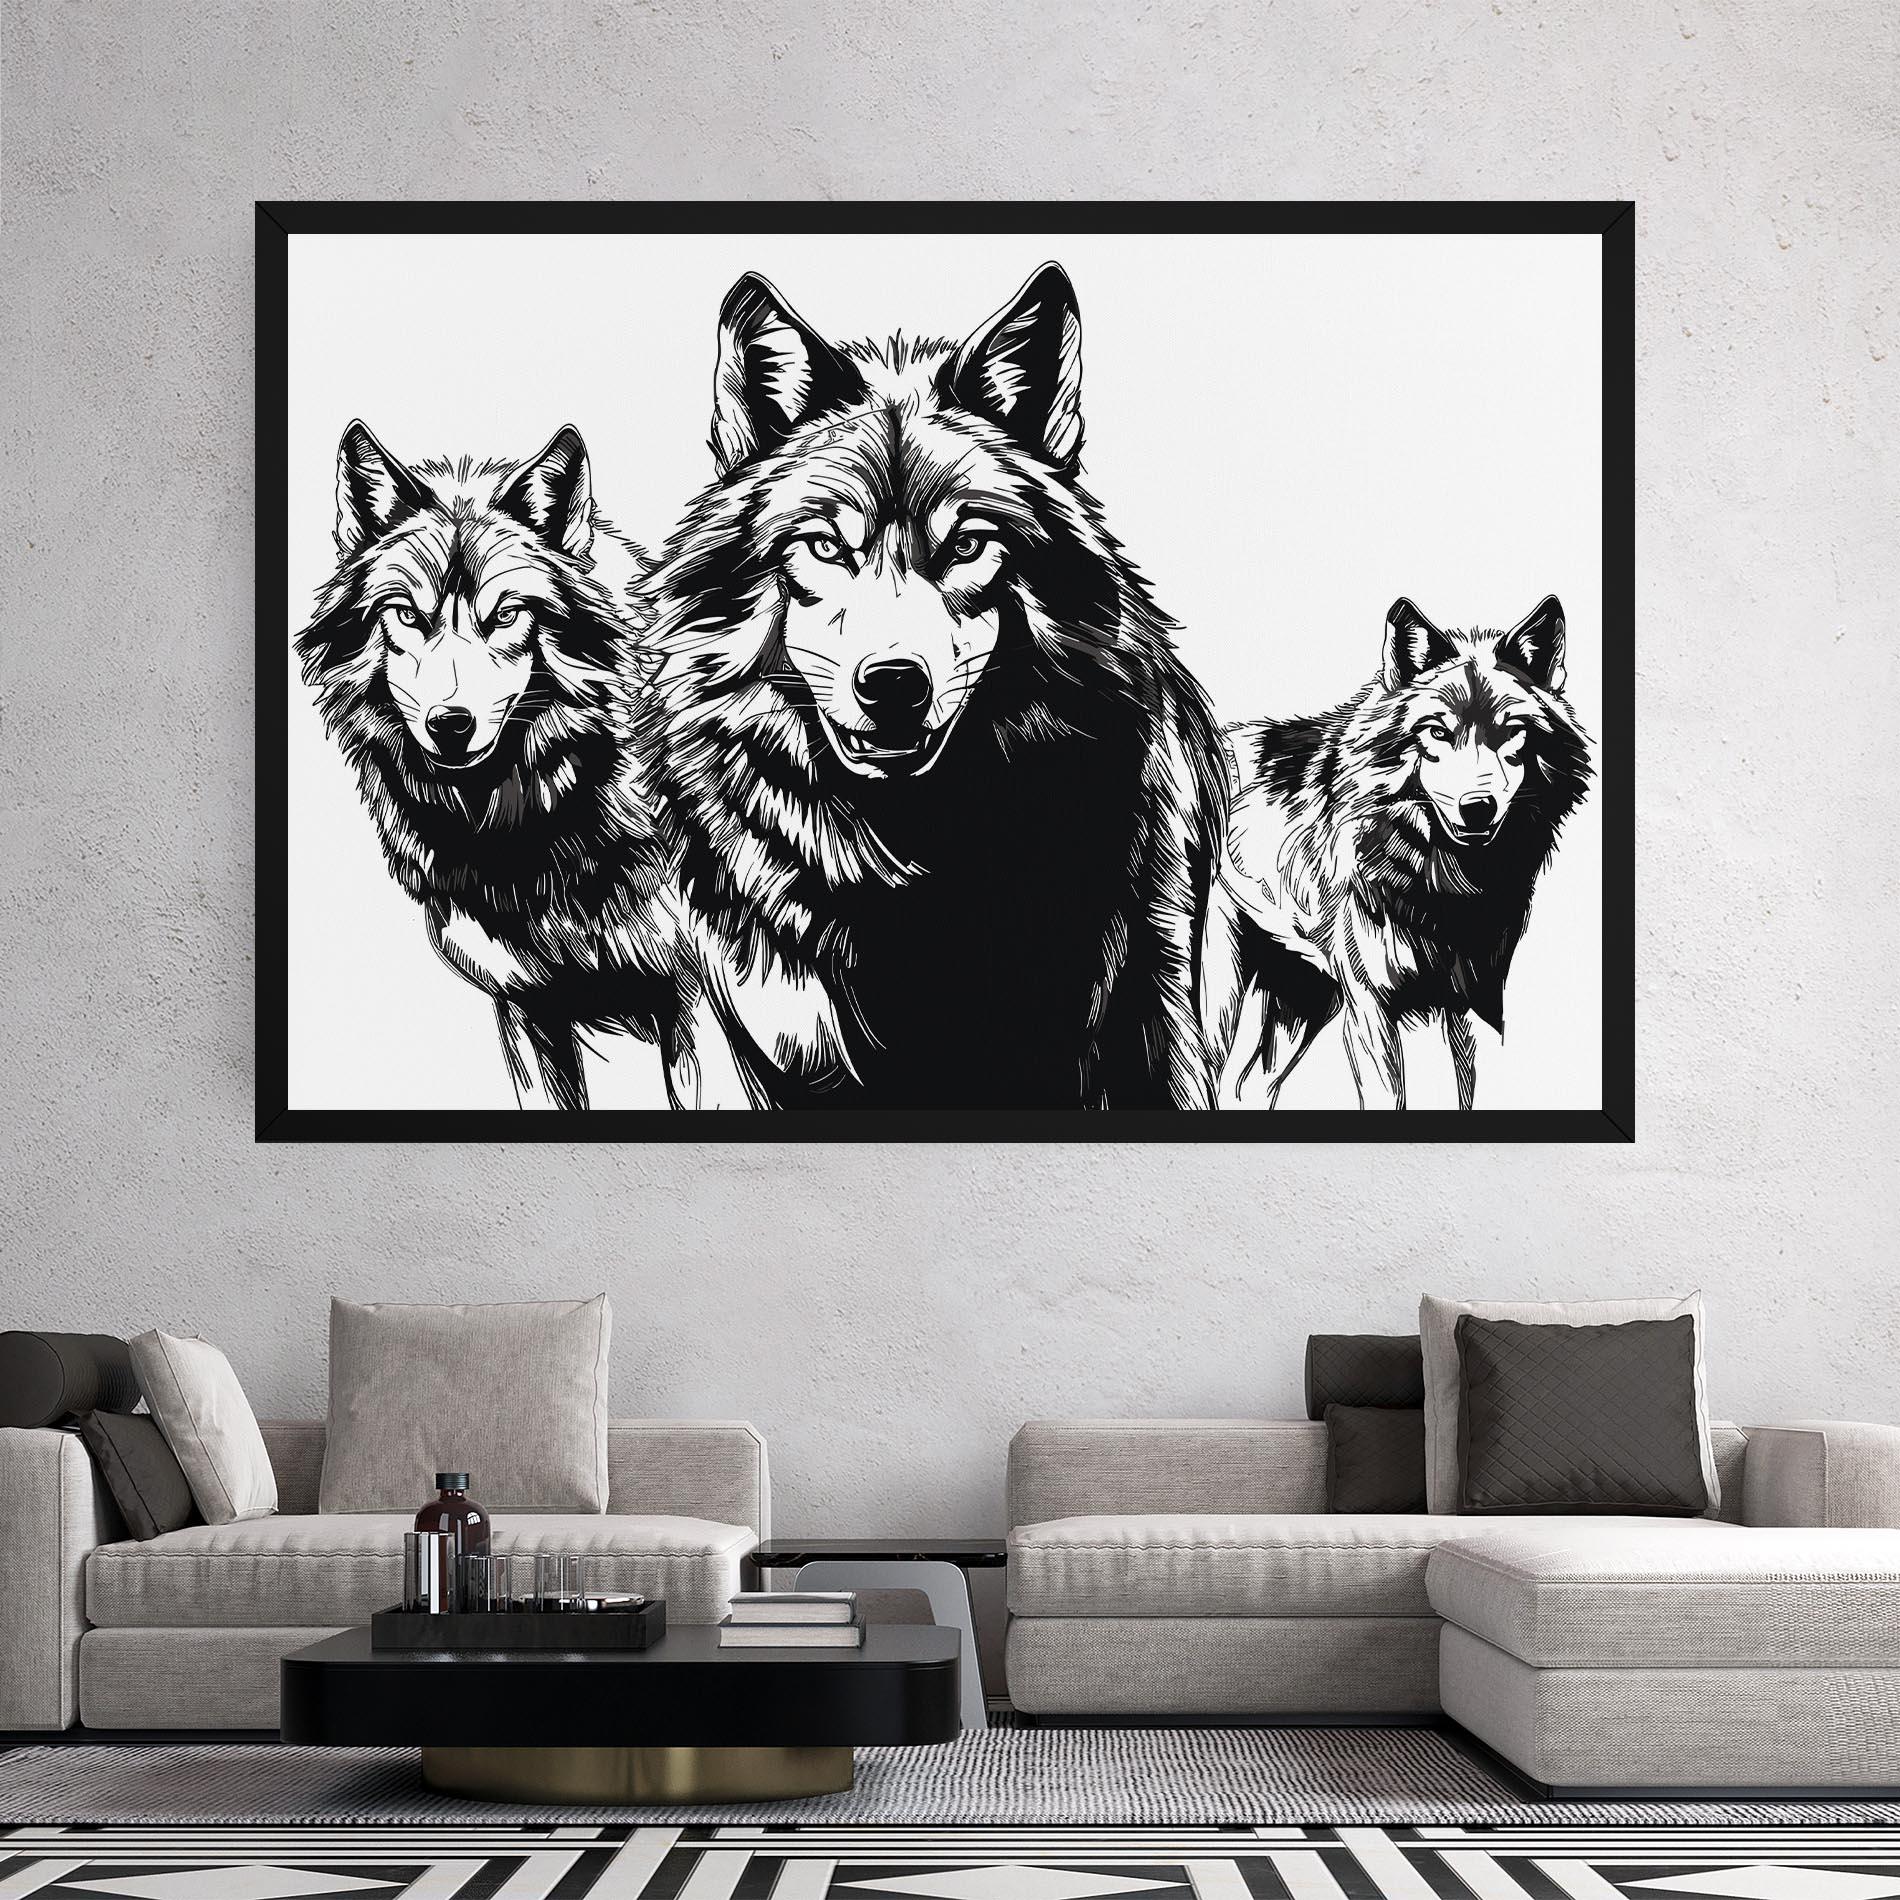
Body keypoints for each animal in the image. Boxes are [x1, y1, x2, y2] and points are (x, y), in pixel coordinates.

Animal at [1207, 595, 1591, 1110]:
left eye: (1511, 731)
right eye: (1436, 732)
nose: (1478, 808)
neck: (1445, 885)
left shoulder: (1470, 1007)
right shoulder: (1371, 1008)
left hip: (1305, 997)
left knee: (1248, 1084)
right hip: (1220, 994)